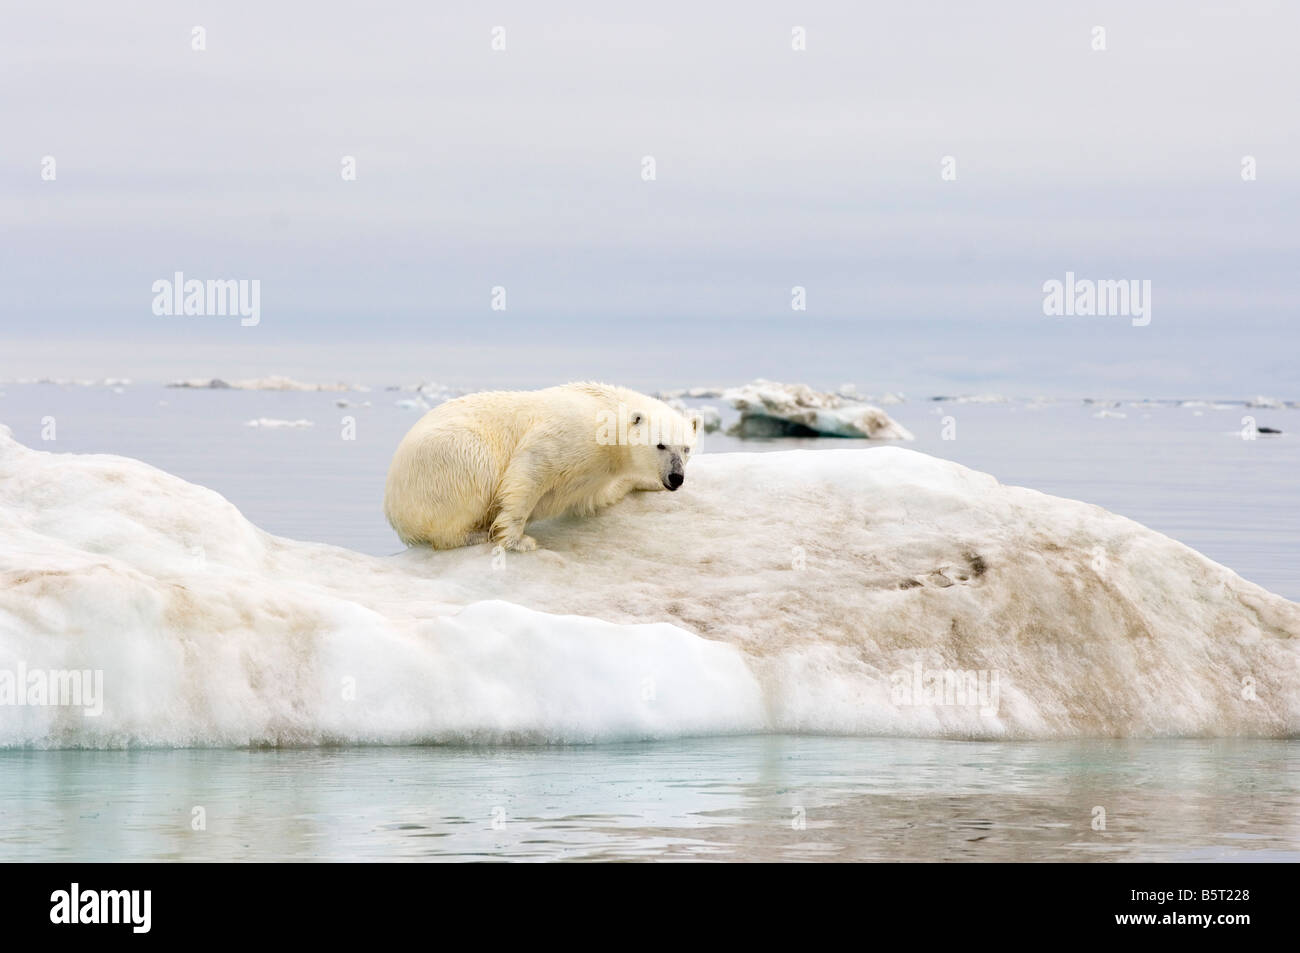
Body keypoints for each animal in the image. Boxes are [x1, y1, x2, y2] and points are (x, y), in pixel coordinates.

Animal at [383, 382, 700, 552]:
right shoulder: (571, 430)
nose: (676, 477)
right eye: (660, 445)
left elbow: (599, 496)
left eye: (686, 448)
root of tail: (392, 509)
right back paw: (473, 533)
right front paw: (517, 541)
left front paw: (646, 482)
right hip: (448, 458)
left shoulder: (598, 473)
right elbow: (531, 468)